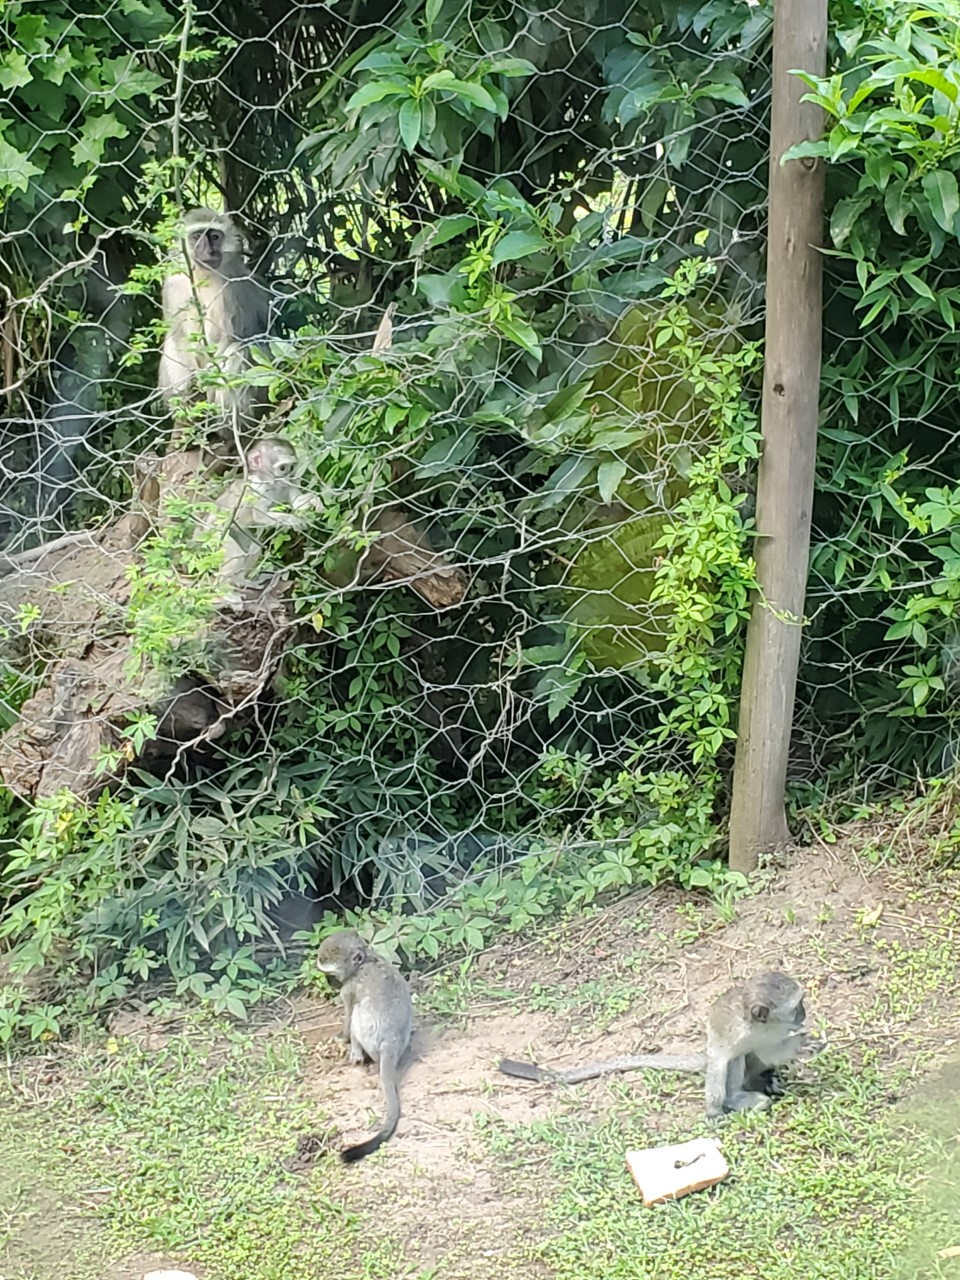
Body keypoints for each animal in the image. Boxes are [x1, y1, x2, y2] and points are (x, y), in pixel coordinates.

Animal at [158, 208, 270, 434]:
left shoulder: (232, 288)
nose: (209, 251)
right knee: (172, 344)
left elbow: (229, 338)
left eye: (215, 237)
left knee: (240, 350)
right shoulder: (174, 281)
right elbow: (180, 338)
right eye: (197, 237)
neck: (203, 275)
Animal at [316, 929, 413, 1164]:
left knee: (357, 1015)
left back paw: (357, 1054)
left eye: (331, 973)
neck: (366, 960)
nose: (330, 984)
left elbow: (348, 1012)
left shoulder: (349, 988)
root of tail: (391, 1042)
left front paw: (342, 1038)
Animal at [498, 971, 815, 1119]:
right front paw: (714, 1111)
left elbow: (770, 1052)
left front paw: (804, 1045)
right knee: (732, 1061)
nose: (804, 1015)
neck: (763, 1026)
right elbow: (721, 1062)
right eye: (796, 1006)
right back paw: (740, 1096)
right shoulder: (734, 1033)